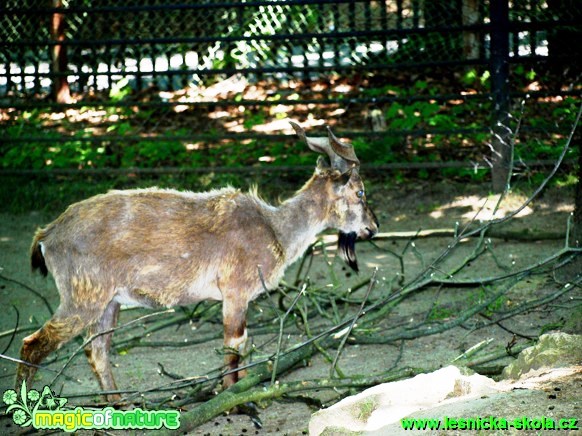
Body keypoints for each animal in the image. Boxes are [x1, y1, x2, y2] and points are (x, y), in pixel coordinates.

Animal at [16, 121, 380, 400]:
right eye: (360, 192)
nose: (373, 227)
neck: (274, 230)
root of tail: (46, 235)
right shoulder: (235, 291)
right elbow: (234, 346)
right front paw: (237, 402)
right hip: (82, 297)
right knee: (32, 344)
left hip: (109, 303)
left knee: (97, 350)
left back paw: (119, 405)